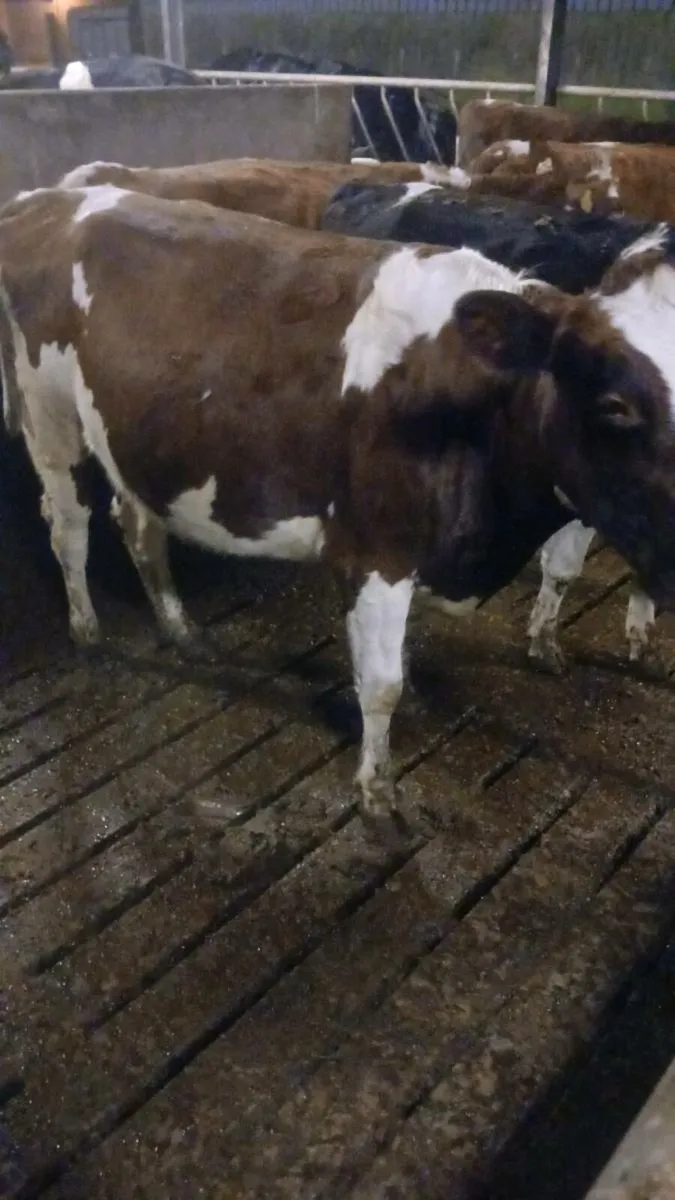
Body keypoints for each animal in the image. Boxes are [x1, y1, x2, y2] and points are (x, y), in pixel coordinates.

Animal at [2, 185, 675, 822]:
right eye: (615, 406)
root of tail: (46, 199)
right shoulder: (376, 551)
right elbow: (380, 685)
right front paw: (377, 793)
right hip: (49, 414)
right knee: (68, 528)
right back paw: (87, 631)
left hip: (131, 436)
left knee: (138, 525)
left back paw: (180, 626)